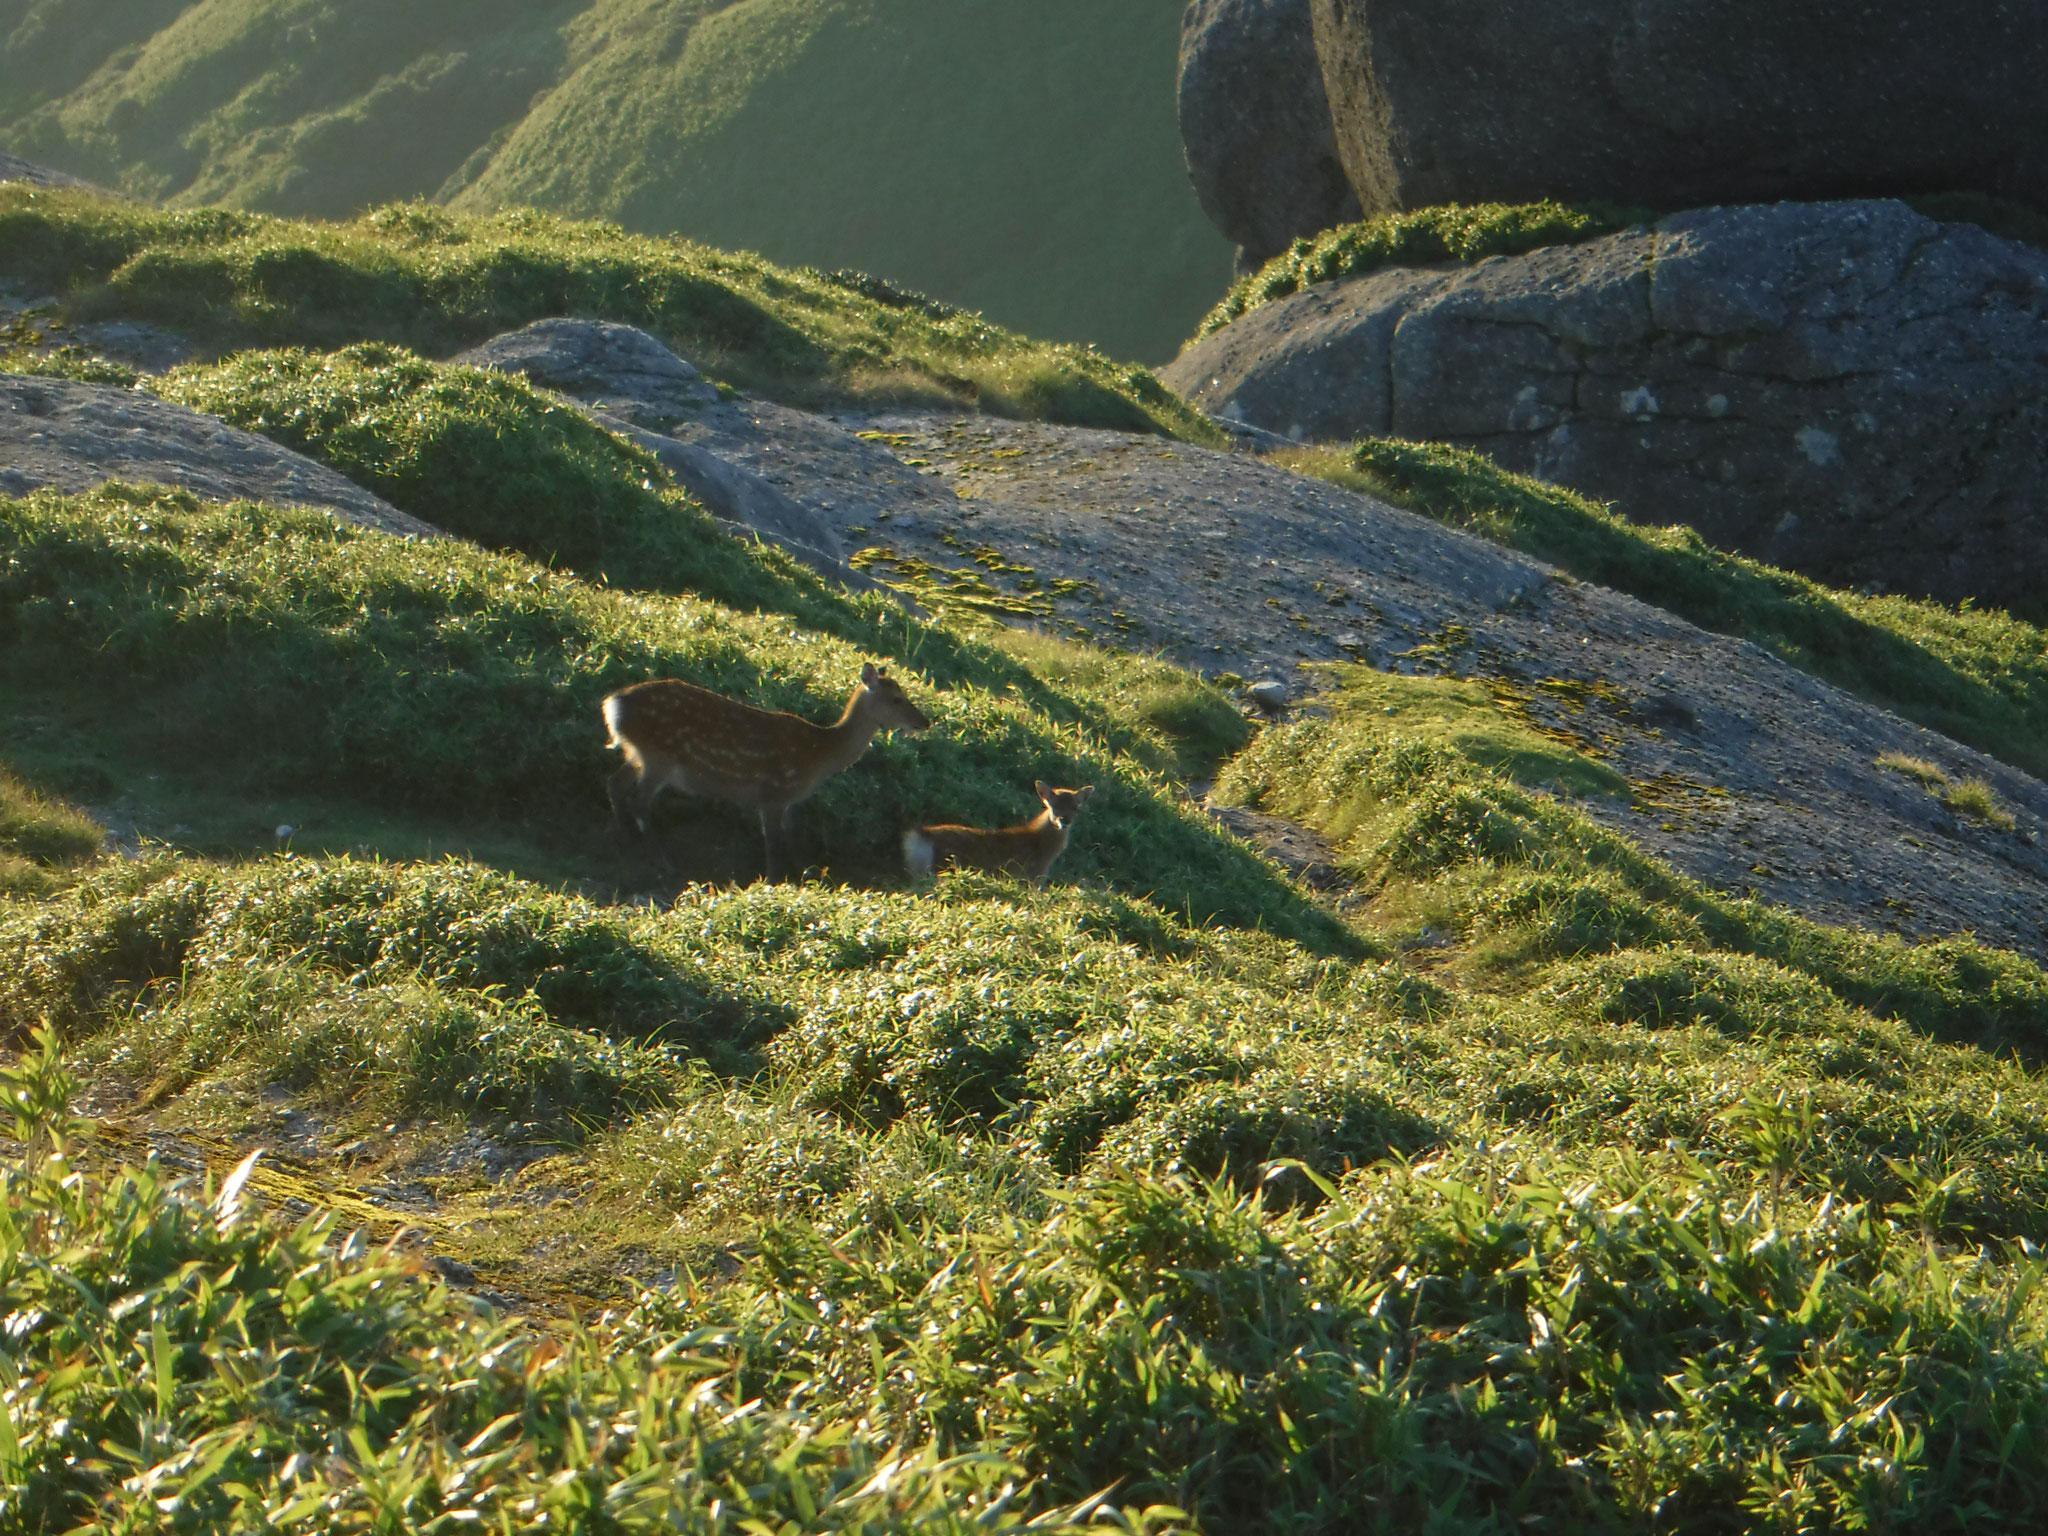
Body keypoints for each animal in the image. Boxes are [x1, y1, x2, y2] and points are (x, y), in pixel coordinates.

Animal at [602, 663, 933, 888]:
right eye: (896, 699)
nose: (924, 722)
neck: (819, 758)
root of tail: (613, 705)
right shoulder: (773, 793)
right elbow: (772, 843)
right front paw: (773, 883)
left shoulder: (789, 801)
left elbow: (791, 836)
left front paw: (805, 875)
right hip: (659, 757)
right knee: (639, 800)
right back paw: (665, 862)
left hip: (638, 754)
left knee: (615, 784)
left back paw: (625, 840)